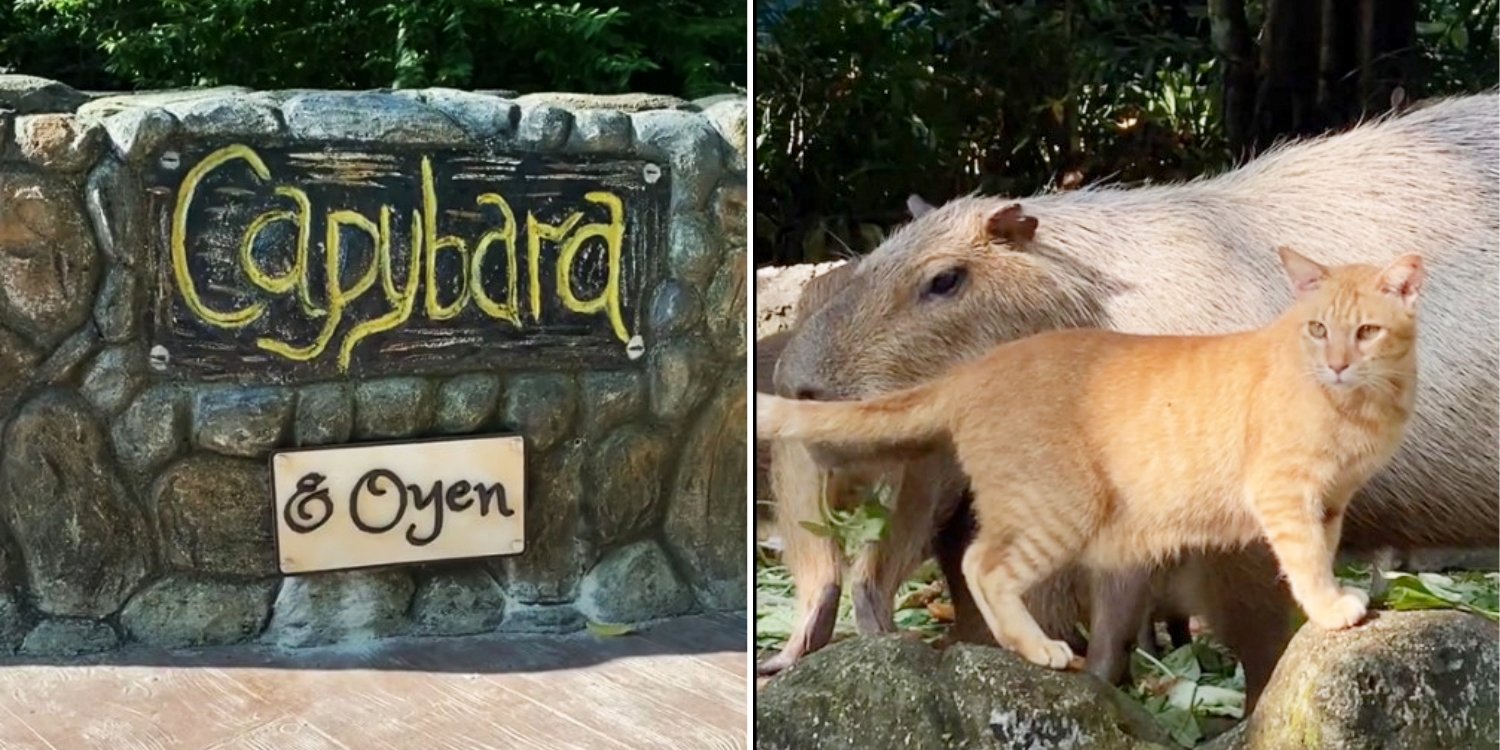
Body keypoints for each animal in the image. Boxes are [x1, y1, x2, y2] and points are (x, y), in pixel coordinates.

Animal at [756, 247, 1422, 669]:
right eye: (1317, 329)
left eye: (1366, 331)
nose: (1338, 363)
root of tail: (977, 369)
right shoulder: (1285, 496)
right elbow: (1305, 562)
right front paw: (1333, 609)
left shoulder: (1330, 501)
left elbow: (1321, 556)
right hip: (1056, 510)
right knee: (979, 566)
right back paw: (1041, 650)